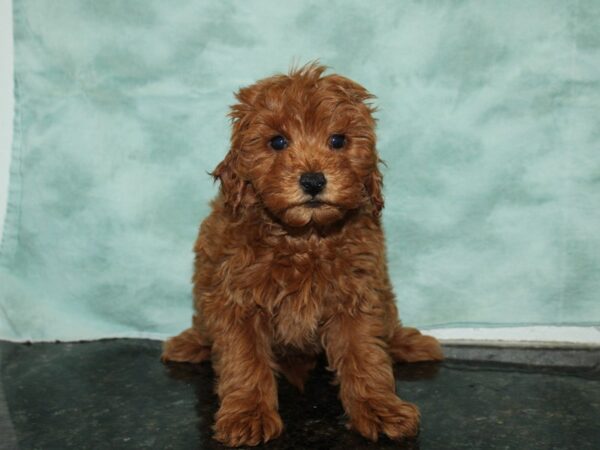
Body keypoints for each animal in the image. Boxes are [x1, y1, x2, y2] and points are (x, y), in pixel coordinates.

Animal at [162, 63, 442, 446]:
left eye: (337, 141)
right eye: (278, 142)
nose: (312, 181)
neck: (303, 239)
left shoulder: (357, 295)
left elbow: (365, 355)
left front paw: (379, 407)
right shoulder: (234, 299)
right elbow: (244, 360)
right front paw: (248, 413)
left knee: (388, 326)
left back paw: (406, 343)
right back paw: (190, 343)